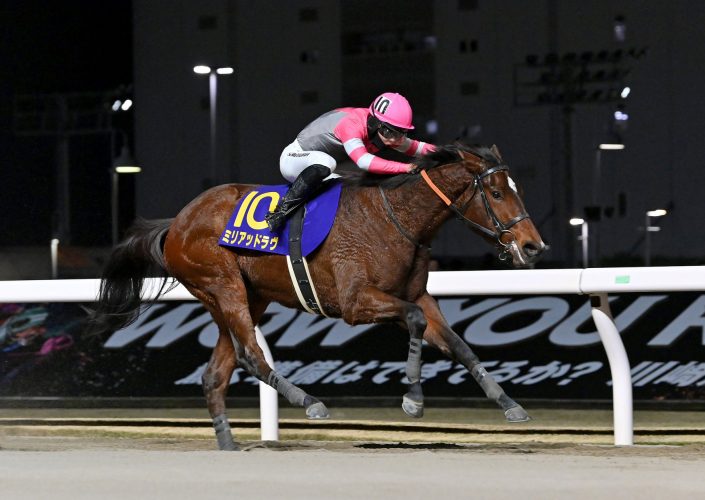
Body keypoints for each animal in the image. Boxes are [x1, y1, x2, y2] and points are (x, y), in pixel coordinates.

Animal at [91, 143, 547, 450]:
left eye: (518, 189)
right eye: (497, 193)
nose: (533, 247)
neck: (396, 218)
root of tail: (177, 223)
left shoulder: (418, 295)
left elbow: (458, 344)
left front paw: (508, 403)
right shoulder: (355, 302)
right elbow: (415, 321)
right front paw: (413, 400)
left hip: (243, 296)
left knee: (217, 371)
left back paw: (229, 443)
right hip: (222, 284)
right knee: (251, 354)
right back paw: (307, 401)